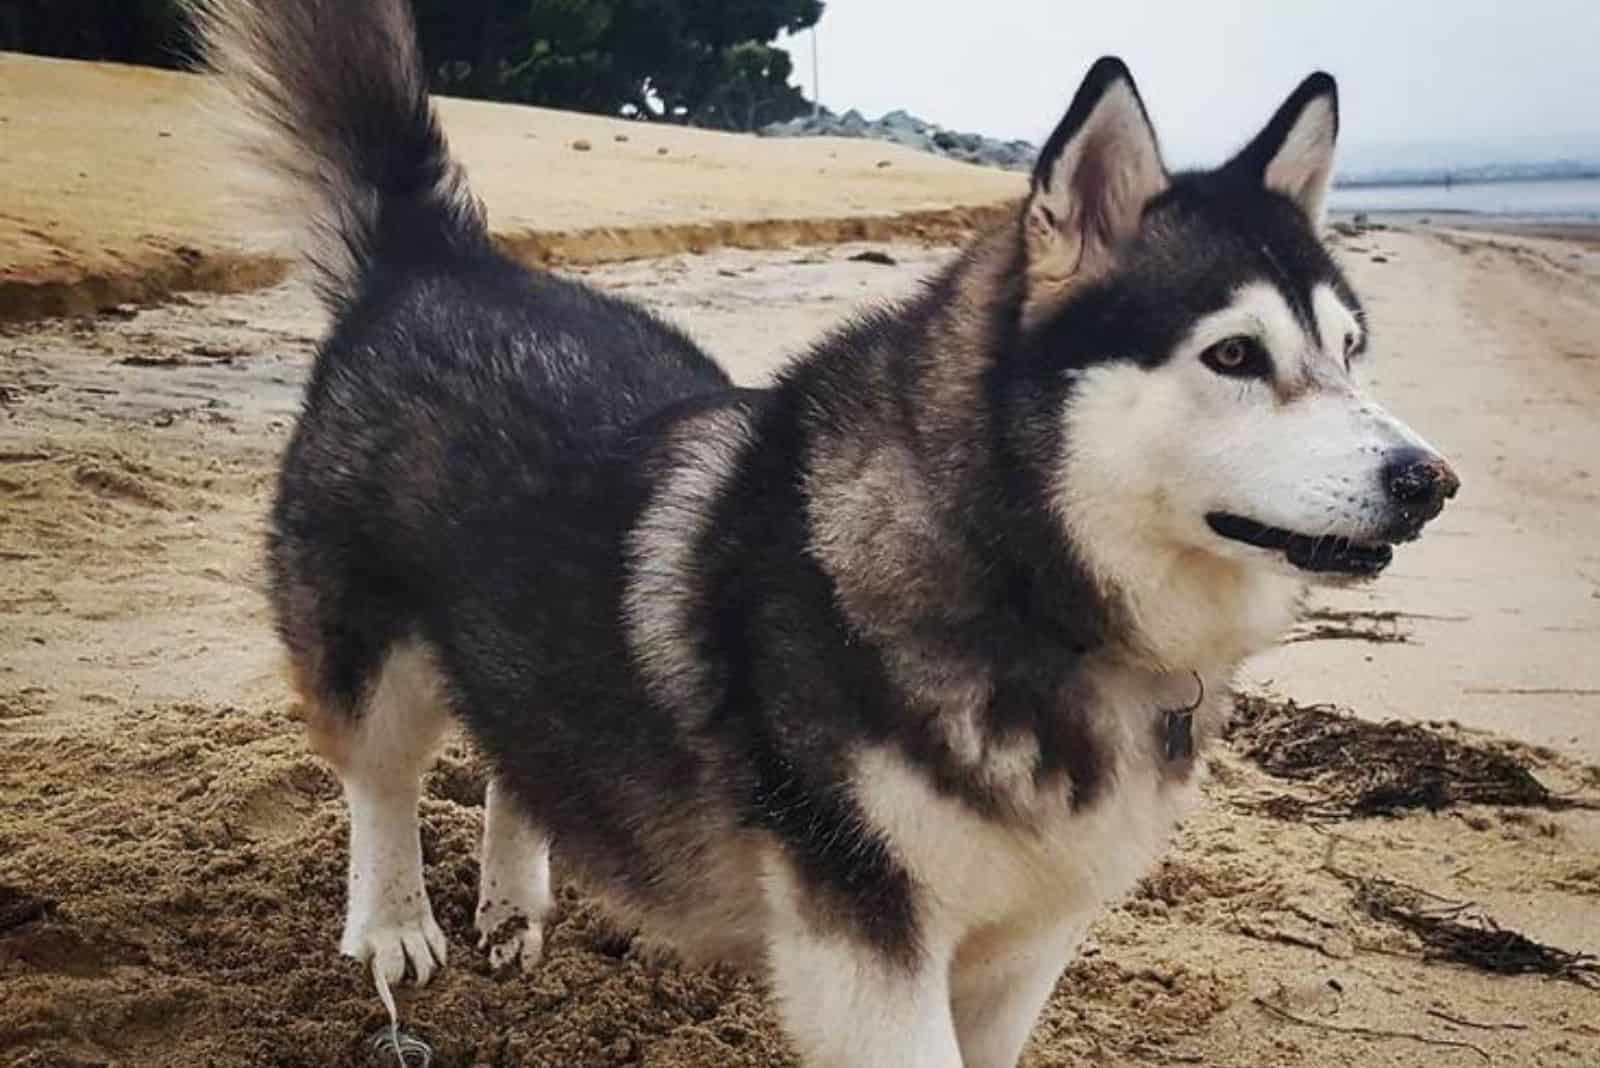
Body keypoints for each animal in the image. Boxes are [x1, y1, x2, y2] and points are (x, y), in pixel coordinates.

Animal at [193, 0, 1459, 1061]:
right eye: (1235, 355)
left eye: (1350, 351)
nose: (1430, 481)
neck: (1024, 583)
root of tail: (435, 258)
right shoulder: (866, 947)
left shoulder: (1025, 944)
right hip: (369, 646)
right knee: (381, 778)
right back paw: (393, 925)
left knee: (521, 753)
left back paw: (511, 902)